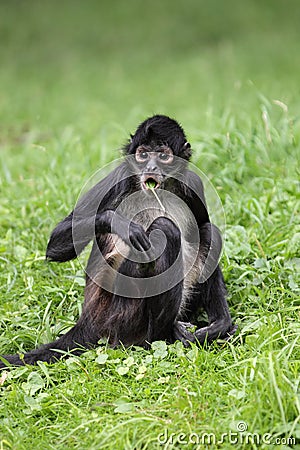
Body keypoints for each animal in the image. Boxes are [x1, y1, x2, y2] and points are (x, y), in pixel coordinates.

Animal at [0, 114, 237, 368]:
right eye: (143, 154)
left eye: (163, 156)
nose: (150, 167)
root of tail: (89, 320)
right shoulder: (120, 178)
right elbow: (55, 245)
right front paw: (118, 223)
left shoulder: (193, 183)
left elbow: (204, 226)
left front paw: (220, 324)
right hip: (121, 314)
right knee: (164, 230)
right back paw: (163, 336)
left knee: (207, 231)